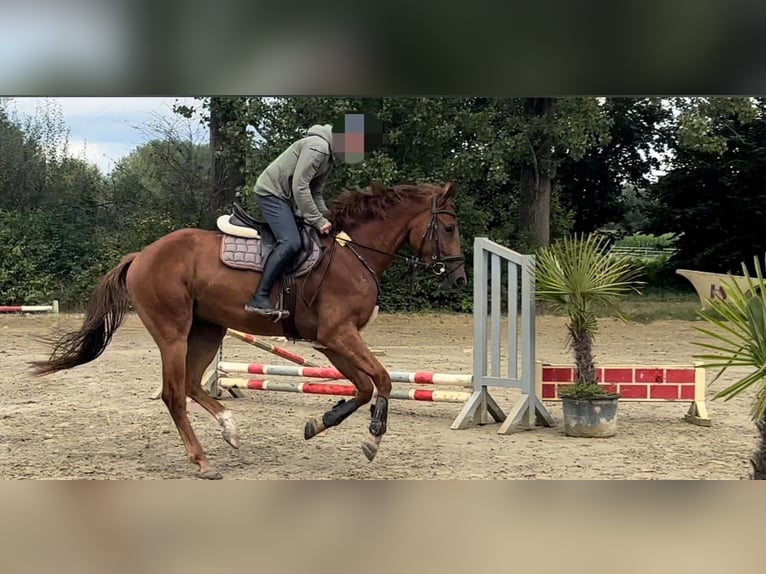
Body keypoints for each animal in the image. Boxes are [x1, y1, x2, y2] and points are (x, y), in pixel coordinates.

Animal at [31, 182, 468, 480]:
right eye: (448, 227)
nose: (461, 278)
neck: (354, 254)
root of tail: (141, 255)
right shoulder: (339, 335)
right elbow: (382, 379)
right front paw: (373, 437)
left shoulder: (329, 343)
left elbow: (361, 387)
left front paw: (319, 423)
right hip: (174, 334)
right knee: (174, 394)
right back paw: (203, 460)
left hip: (208, 331)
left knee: (192, 384)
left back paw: (229, 428)